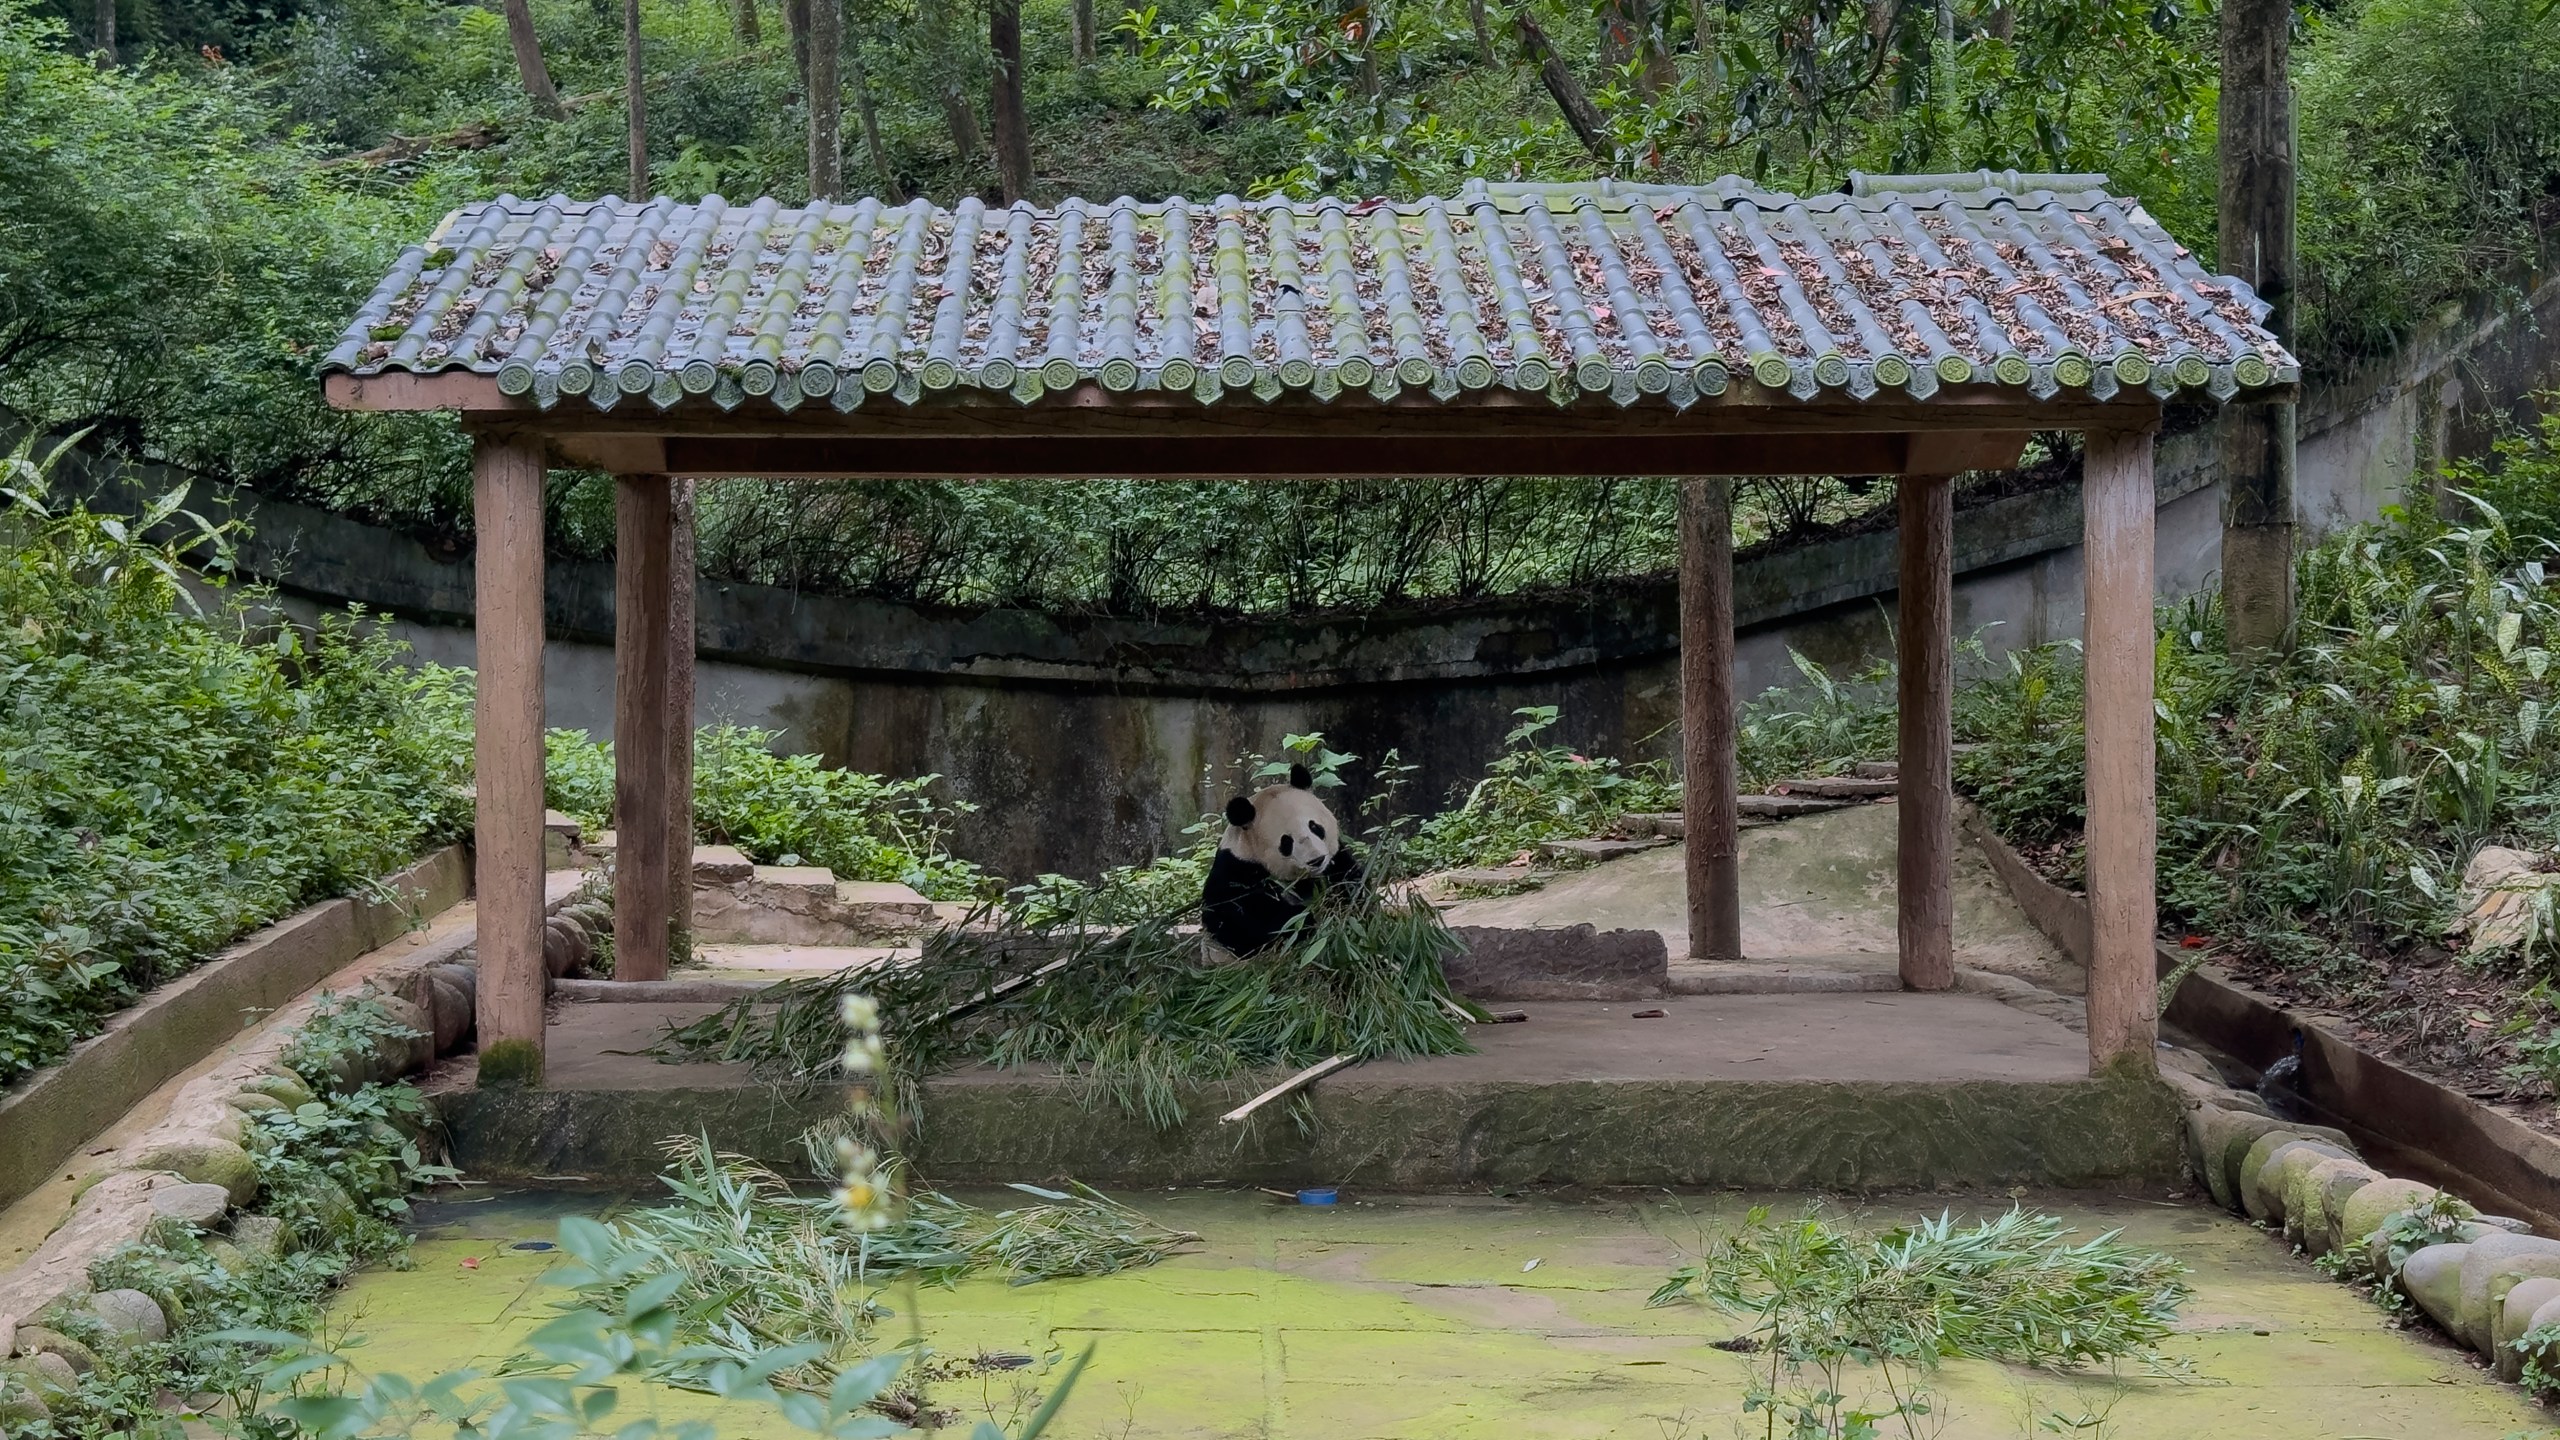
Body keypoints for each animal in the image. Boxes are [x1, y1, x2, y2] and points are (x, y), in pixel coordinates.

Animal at [1198, 763, 1361, 953]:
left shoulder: (1335, 861)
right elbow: (1238, 915)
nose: (1316, 860)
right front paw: (1302, 922)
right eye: (1286, 842)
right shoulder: (1235, 868)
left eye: (1314, 827)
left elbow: (1349, 879)